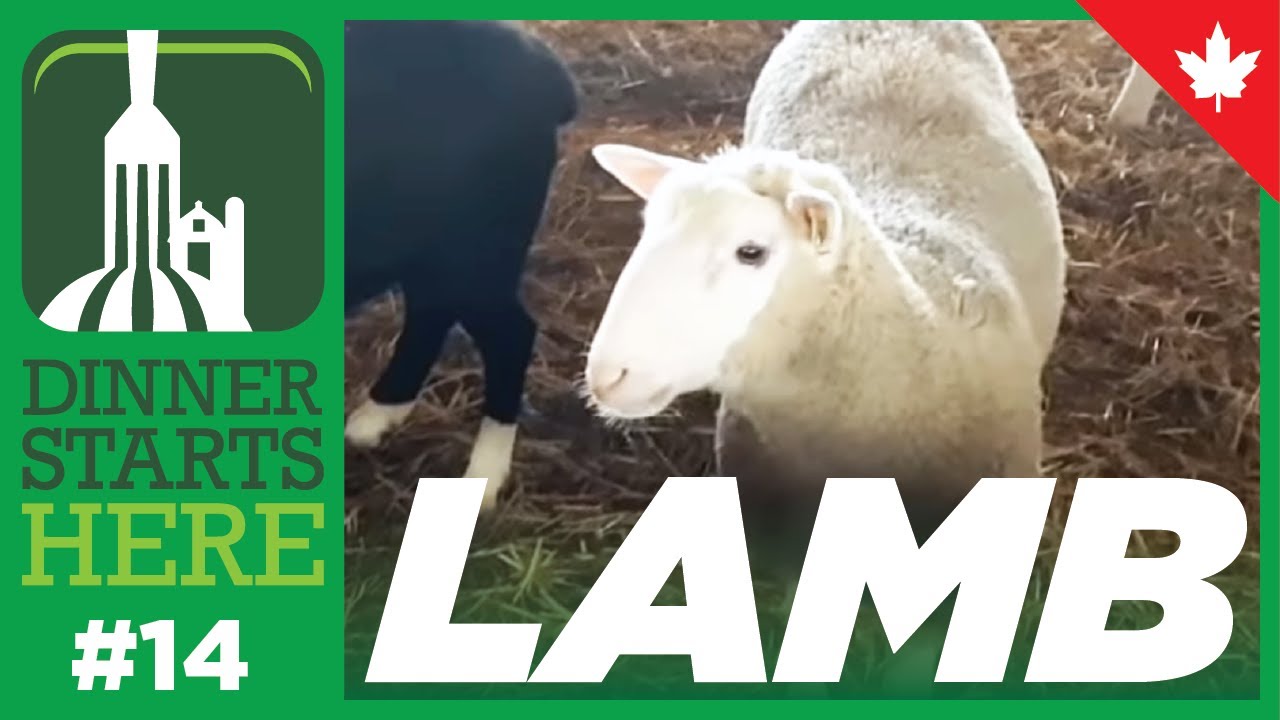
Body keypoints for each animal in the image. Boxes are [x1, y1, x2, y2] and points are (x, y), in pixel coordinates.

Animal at [343, 20, 577, 510]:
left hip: (477, 248)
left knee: (510, 335)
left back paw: (482, 479)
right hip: (432, 252)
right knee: (431, 317)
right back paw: (376, 418)